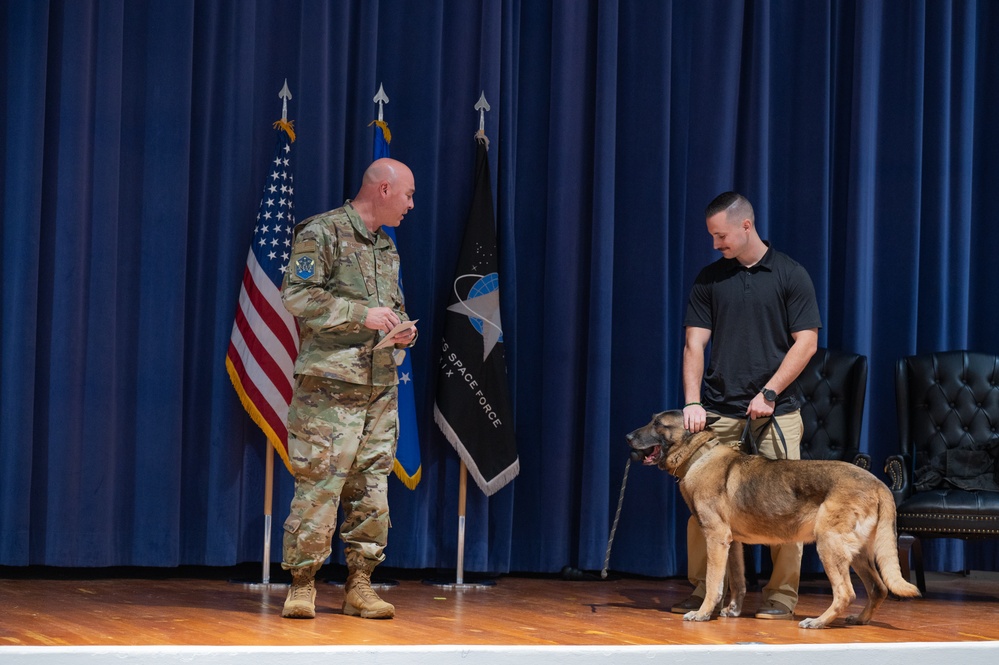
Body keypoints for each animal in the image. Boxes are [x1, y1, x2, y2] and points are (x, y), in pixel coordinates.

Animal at [628, 410, 916, 628]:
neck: (699, 455)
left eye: (658, 424)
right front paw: (732, 611)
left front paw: (702, 613)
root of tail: (878, 483)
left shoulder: (716, 539)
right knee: (878, 588)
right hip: (856, 553)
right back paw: (860, 620)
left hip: (829, 545)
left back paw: (818, 622)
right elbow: (738, 582)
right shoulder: (733, 544)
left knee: (846, 592)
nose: (627, 436)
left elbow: (713, 583)